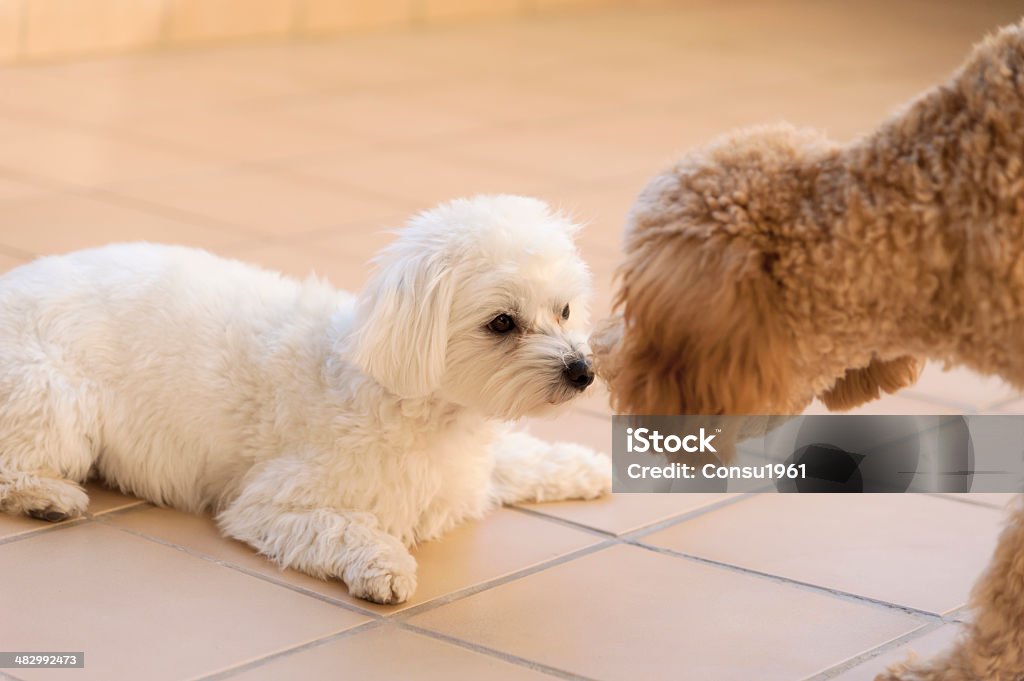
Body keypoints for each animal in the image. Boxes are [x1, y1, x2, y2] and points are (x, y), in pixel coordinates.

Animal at [0, 195, 606, 602]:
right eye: (501, 322)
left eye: (564, 310)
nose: (583, 371)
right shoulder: (271, 504)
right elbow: (343, 528)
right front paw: (384, 565)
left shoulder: (470, 469)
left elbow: (528, 459)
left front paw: (586, 466)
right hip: (51, 399)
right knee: (12, 466)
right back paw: (48, 497)